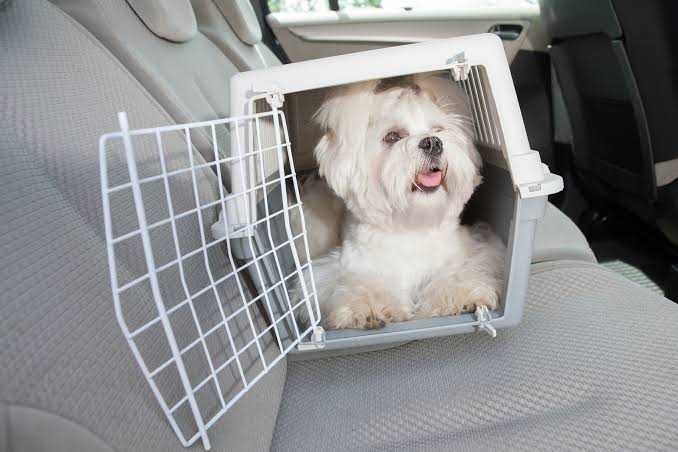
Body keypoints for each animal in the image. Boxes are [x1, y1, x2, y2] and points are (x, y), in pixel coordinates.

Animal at [294, 73, 508, 328]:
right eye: (393, 137)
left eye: (438, 130)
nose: (433, 142)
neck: (411, 226)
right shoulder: (342, 267)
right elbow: (361, 283)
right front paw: (368, 307)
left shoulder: (472, 251)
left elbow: (459, 272)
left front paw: (457, 296)